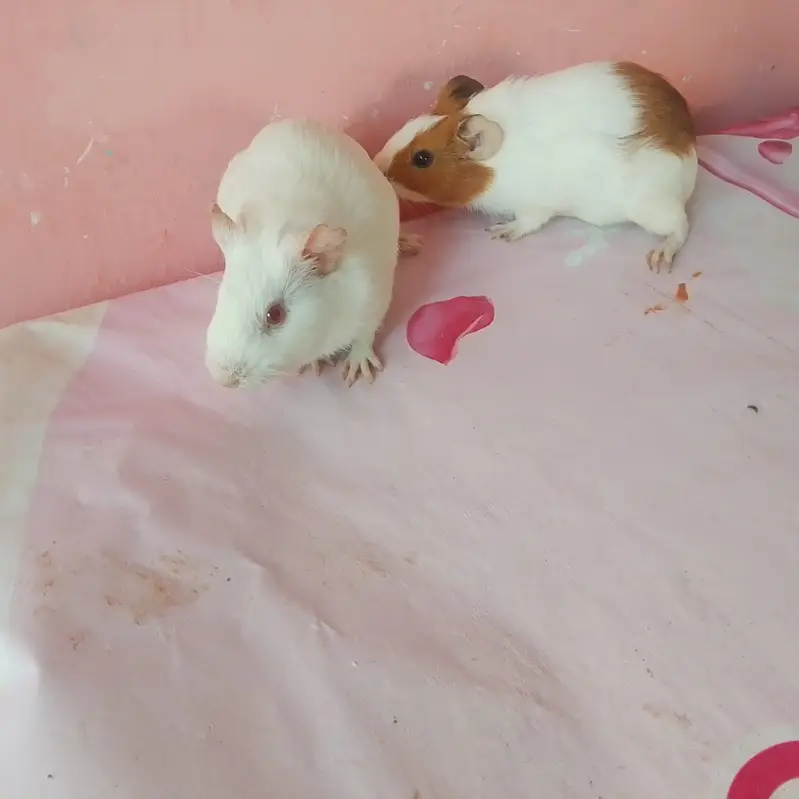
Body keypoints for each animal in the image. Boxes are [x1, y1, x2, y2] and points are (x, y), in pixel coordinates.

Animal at [205, 118, 410, 389]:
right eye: (222, 295)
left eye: (275, 314)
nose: (223, 379)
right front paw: (316, 366)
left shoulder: (375, 298)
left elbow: (364, 336)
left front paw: (356, 373)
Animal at [374, 61, 698, 272]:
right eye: (411, 122)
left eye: (422, 158)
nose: (378, 166)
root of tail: (689, 150)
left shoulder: (534, 206)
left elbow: (527, 223)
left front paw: (500, 231)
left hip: (652, 210)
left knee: (681, 228)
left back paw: (658, 259)